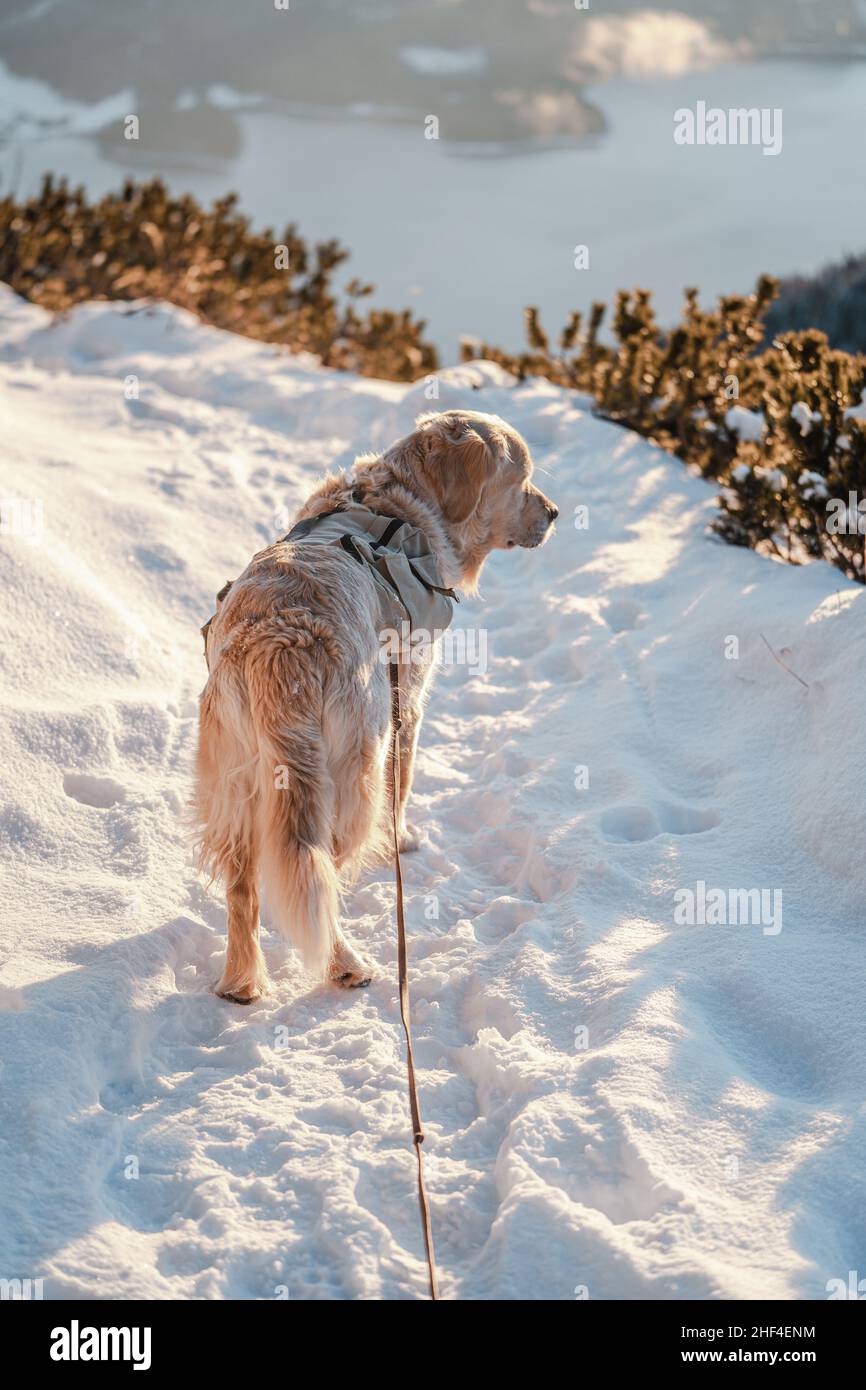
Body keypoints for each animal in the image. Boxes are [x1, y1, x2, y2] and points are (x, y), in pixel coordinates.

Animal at [194, 405, 558, 1006]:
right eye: (522, 479)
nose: (554, 513)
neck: (399, 506)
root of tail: (280, 642)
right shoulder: (407, 706)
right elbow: (403, 786)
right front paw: (402, 841)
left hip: (234, 779)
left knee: (248, 889)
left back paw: (241, 982)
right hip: (354, 762)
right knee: (322, 873)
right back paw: (346, 964)